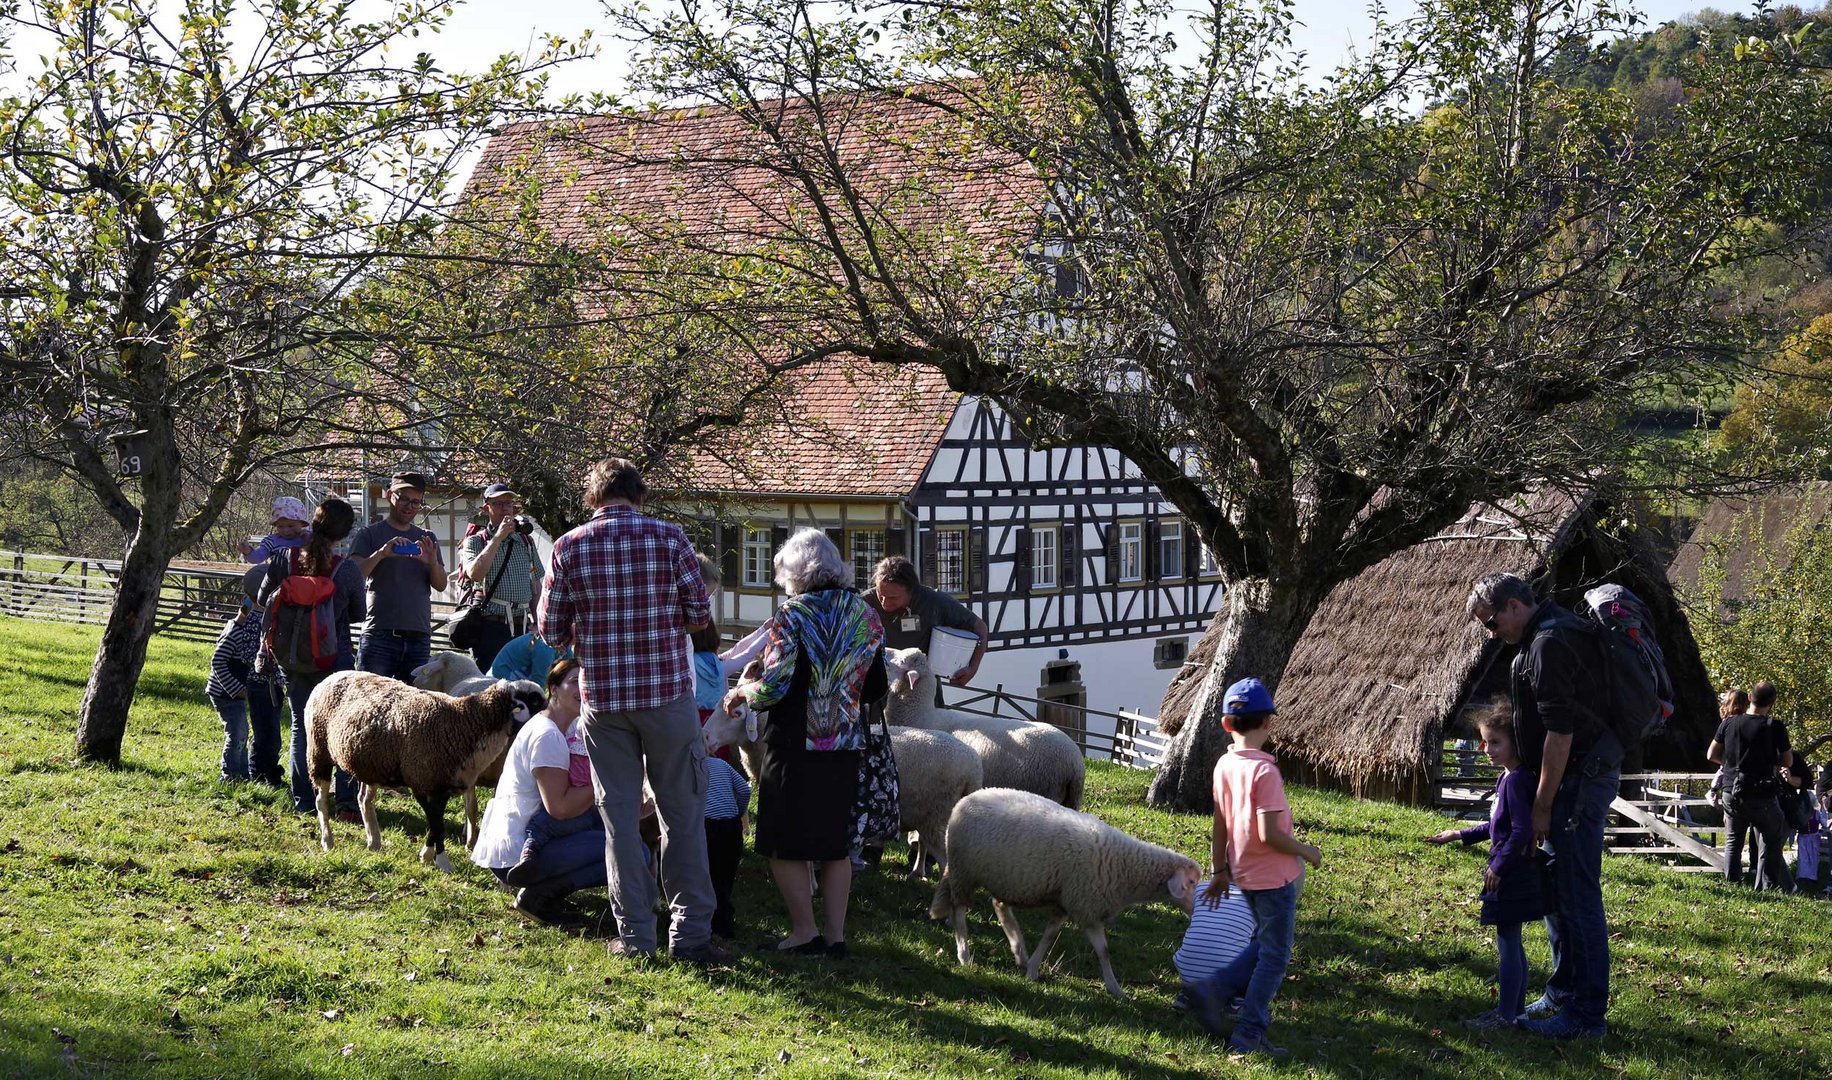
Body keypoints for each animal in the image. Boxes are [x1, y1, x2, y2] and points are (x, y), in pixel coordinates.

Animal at [300, 673, 538, 874]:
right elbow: (437, 824)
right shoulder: (422, 781)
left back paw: (374, 842)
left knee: (364, 800)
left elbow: (437, 822)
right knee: (321, 800)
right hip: (318, 750)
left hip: (370, 764)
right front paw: (442, 862)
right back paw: (327, 840)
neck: (465, 722)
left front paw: (427, 855)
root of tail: (329, 678)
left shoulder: (441, 785)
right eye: (536, 704)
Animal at [930, 787, 1201, 1010]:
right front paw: (1114, 987)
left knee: (999, 906)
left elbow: (1055, 937)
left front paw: (1033, 968)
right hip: (964, 871)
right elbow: (1102, 951)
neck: (1125, 867)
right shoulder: (1086, 907)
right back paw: (964, 954)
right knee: (958, 910)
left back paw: (1019, 952)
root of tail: (966, 799)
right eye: (1191, 883)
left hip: (1005, 880)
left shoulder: (1070, 904)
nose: (1196, 912)